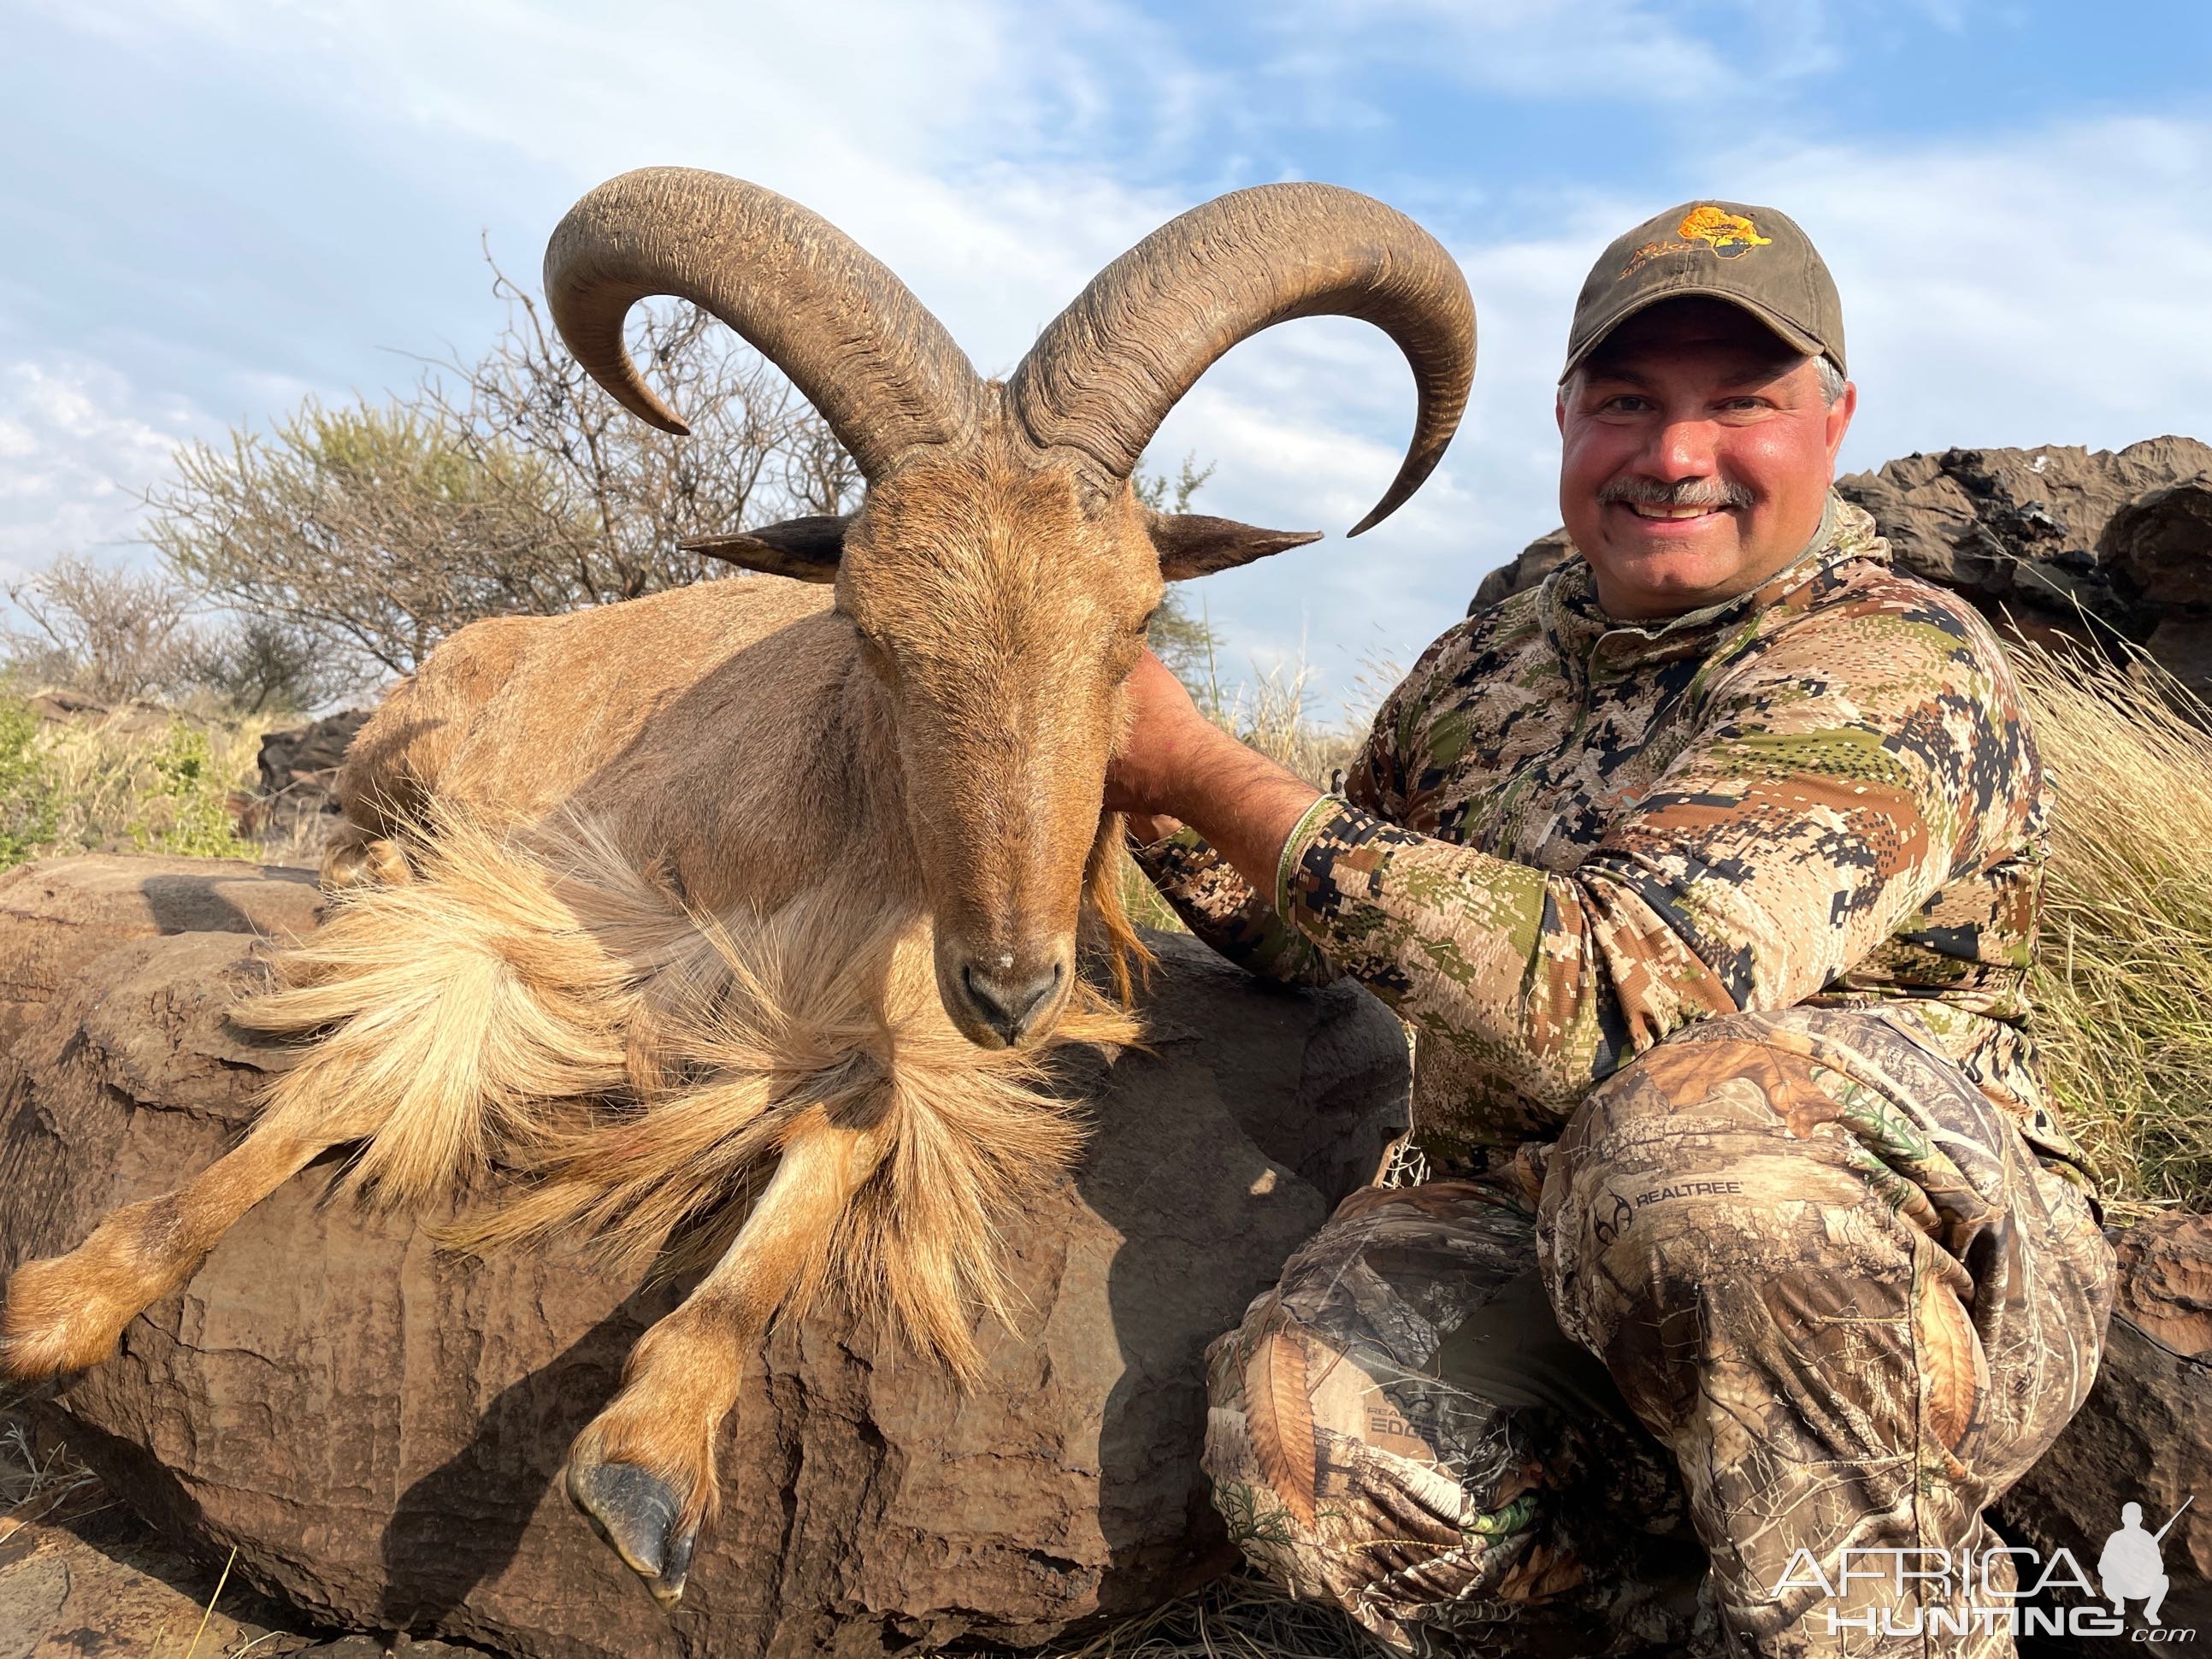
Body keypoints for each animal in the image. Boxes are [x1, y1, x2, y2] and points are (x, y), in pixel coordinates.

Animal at [13, 166, 1486, 1601]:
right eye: (864, 629)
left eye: (1132, 625)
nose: (1011, 988)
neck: (838, 809)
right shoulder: (552, 902)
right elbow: (336, 1082)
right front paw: (59, 1304)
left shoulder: (887, 1015)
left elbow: (831, 1154)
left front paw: (647, 1457)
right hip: (405, 744)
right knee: (353, 849)